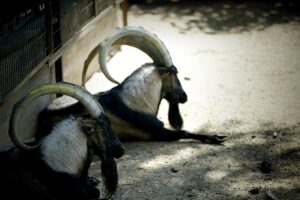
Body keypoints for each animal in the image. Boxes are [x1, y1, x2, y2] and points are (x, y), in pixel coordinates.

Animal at [37, 26, 226, 145]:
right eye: (175, 72)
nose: (184, 96)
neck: (133, 103)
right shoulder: (157, 133)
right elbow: (183, 132)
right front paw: (215, 137)